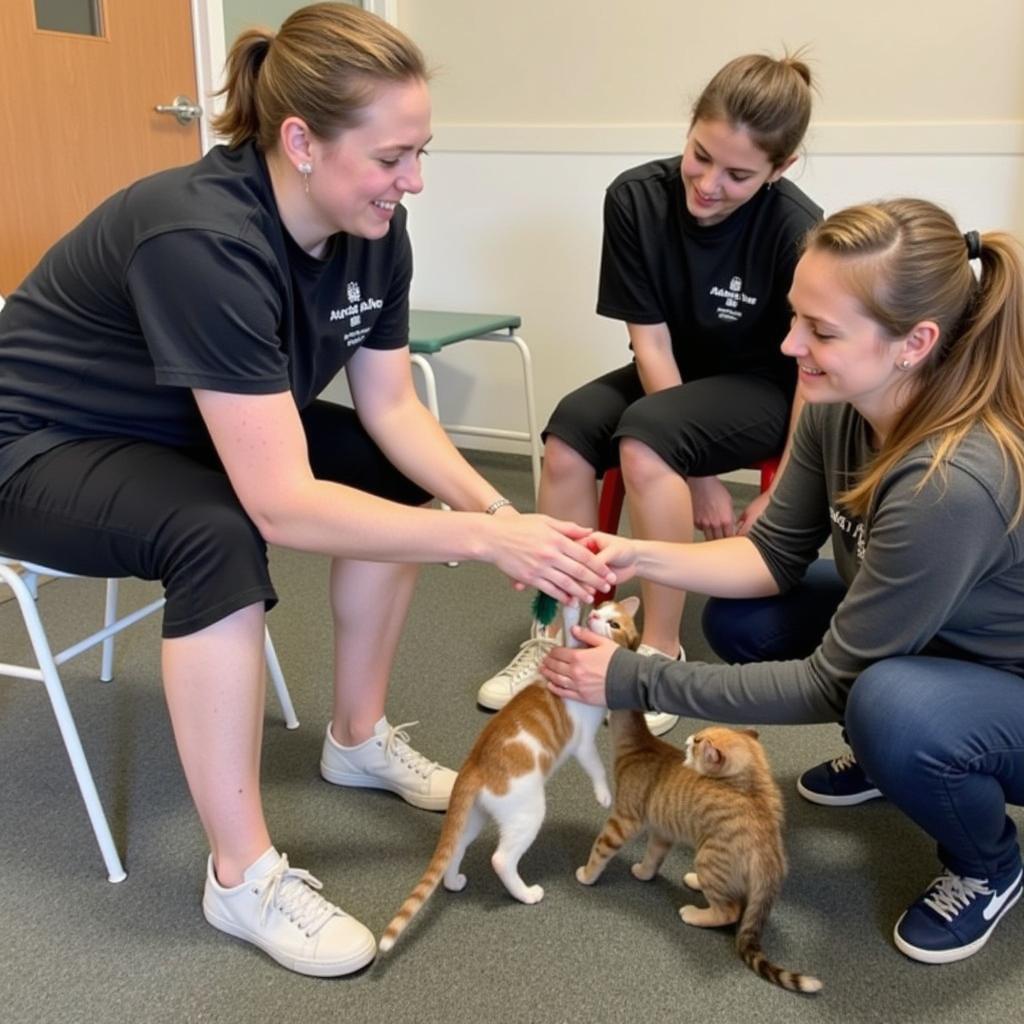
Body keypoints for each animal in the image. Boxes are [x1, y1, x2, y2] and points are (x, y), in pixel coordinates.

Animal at [382, 593, 638, 950]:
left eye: (614, 621)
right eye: (603, 611)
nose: (596, 614)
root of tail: (474, 765)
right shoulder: (583, 742)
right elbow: (597, 767)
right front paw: (603, 795)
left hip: (474, 817)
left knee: (456, 847)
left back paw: (454, 881)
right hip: (528, 813)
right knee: (501, 859)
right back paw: (526, 893)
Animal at [577, 712, 823, 991]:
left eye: (697, 741)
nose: (688, 740)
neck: (641, 746)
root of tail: (770, 854)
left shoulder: (623, 821)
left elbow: (599, 850)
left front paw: (587, 875)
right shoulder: (662, 832)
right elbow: (652, 858)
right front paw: (643, 873)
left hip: (707, 859)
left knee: (729, 910)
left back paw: (694, 914)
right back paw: (695, 882)